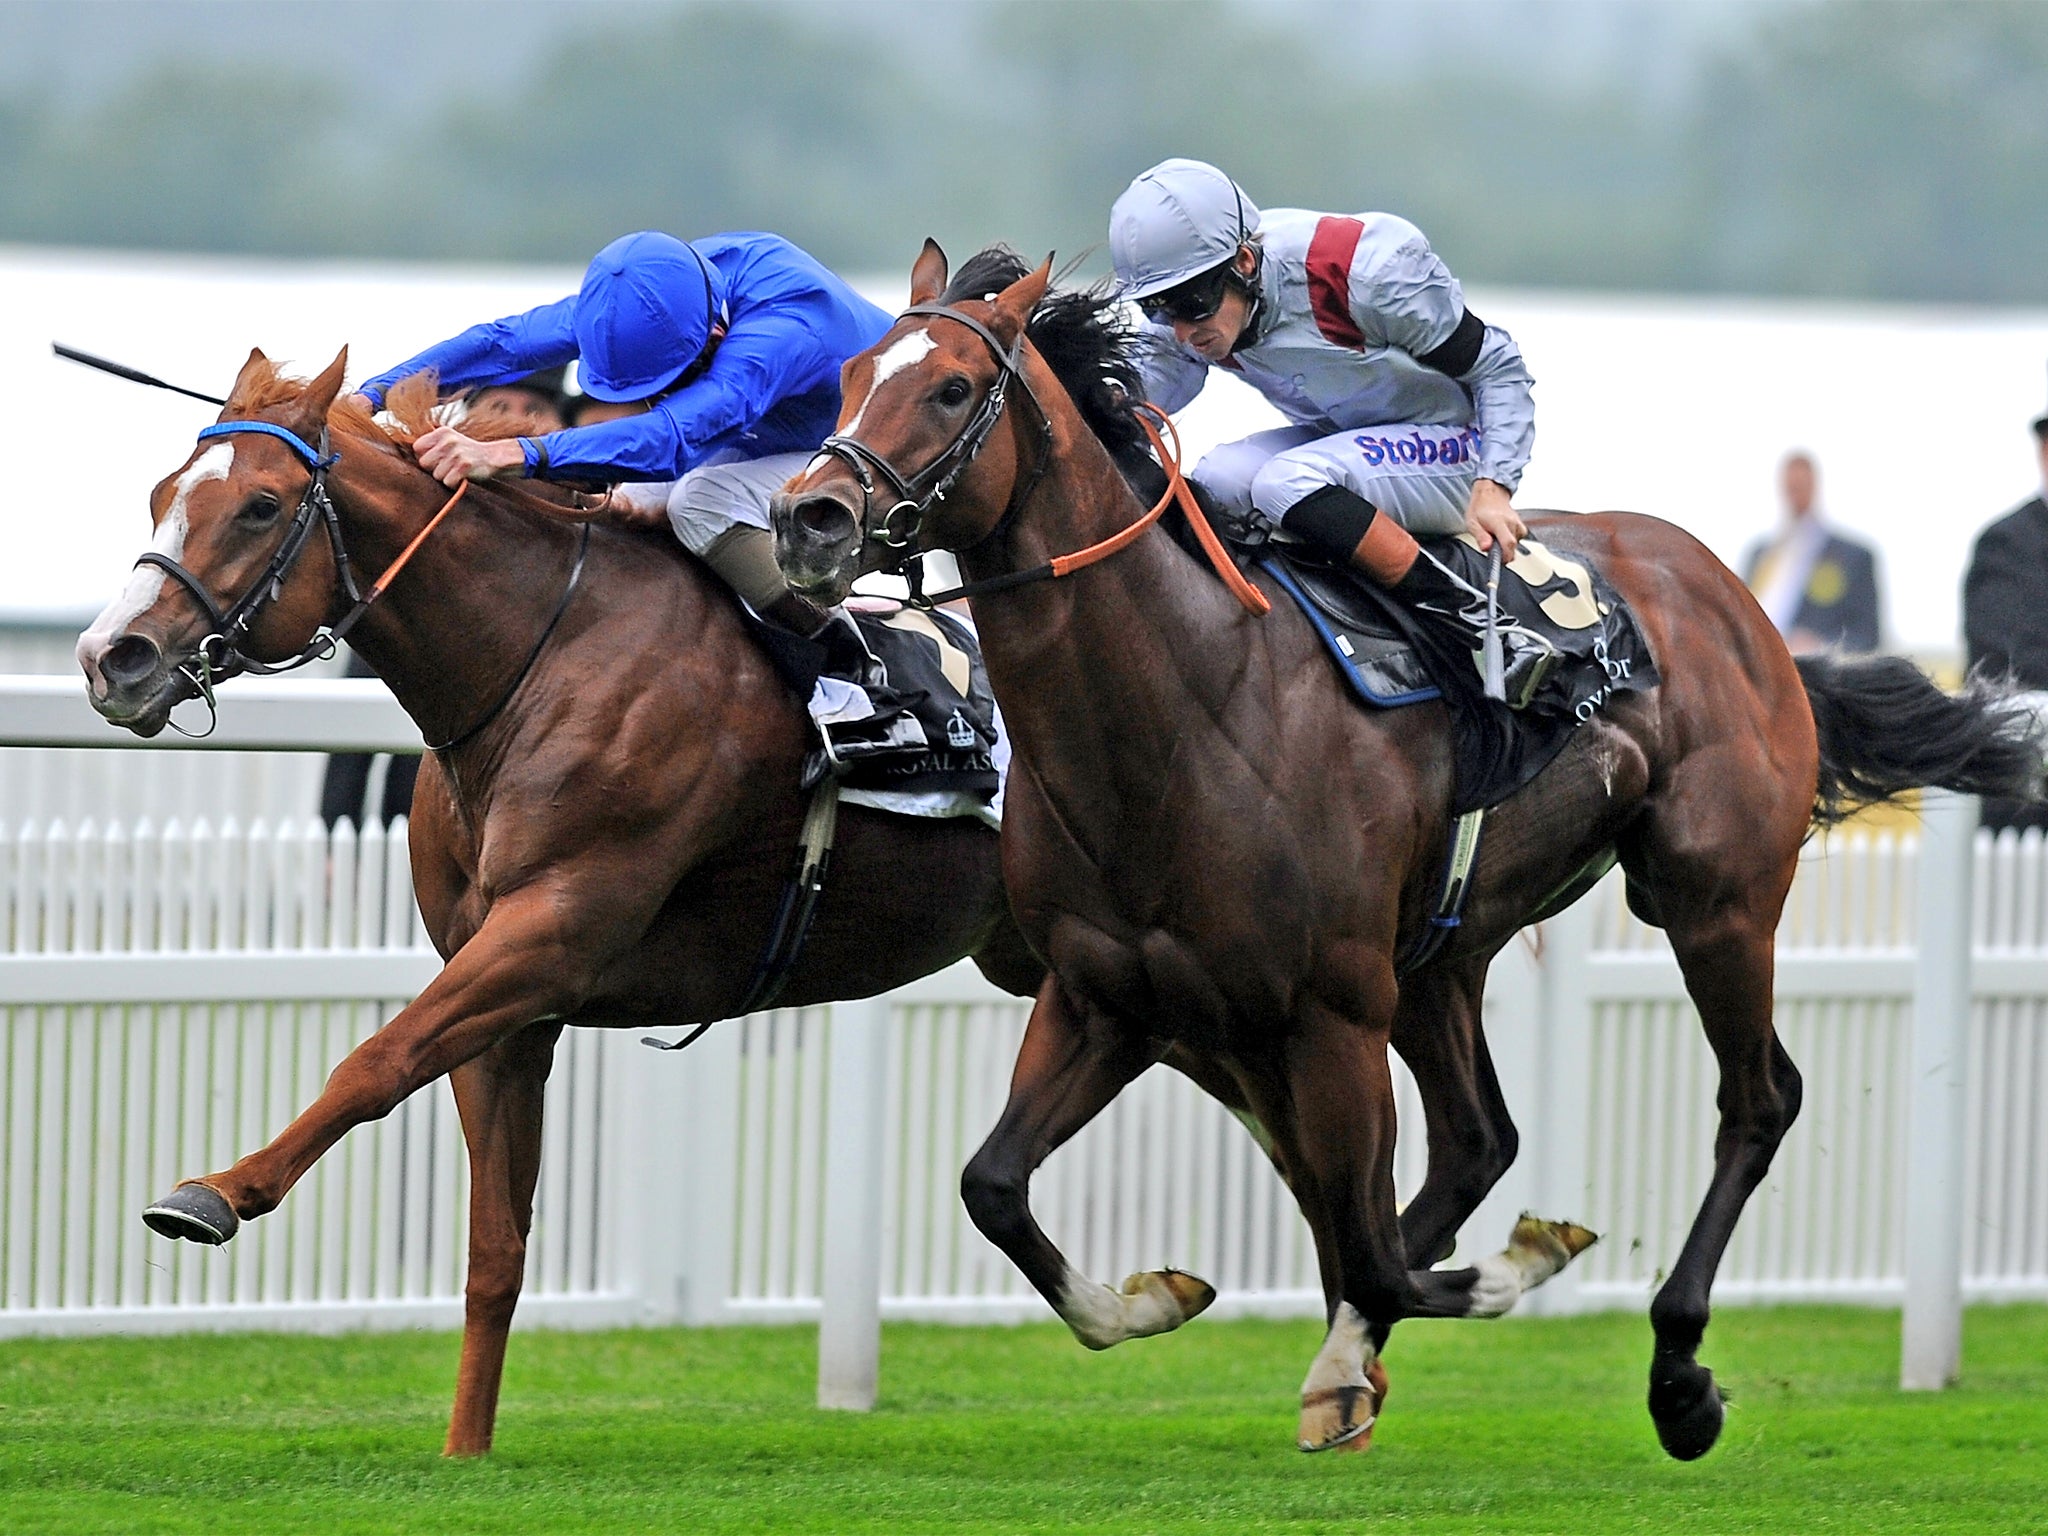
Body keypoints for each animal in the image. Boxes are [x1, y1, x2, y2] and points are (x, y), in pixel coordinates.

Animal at [74, 352, 1048, 1466]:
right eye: (163, 493)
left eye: (260, 506)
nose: (112, 657)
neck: (541, 657)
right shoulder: (507, 999)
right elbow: (494, 1241)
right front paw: (465, 1451)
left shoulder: (551, 934)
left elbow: (375, 1062)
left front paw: (214, 1195)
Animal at [770, 246, 2048, 1458]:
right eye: (849, 373)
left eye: (949, 387)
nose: (808, 519)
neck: (1190, 707)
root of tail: (1746, 612)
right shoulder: (1106, 1000)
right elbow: (995, 1188)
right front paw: (1156, 1302)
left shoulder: (1328, 1008)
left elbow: (1373, 1247)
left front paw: (1516, 1268)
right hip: (1443, 952)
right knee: (1474, 1142)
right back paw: (1358, 1358)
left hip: (1710, 899)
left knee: (1754, 1099)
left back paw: (1674, 1375)